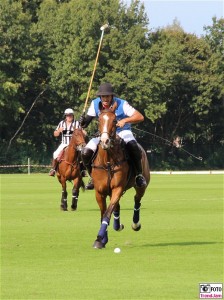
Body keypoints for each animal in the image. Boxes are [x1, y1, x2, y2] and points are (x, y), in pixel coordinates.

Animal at [91, 104, 150, 250]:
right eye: (99, 120)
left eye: (114, 120)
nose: (105, 141)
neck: (107, 161)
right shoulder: (99, 192)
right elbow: (104, 213)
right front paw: (102, 239)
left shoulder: (117, 188)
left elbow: (107, 213)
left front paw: (99, 238)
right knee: (117, 206)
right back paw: (117, 225)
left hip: (141, 184)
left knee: (137, 199)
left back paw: (135, 224)